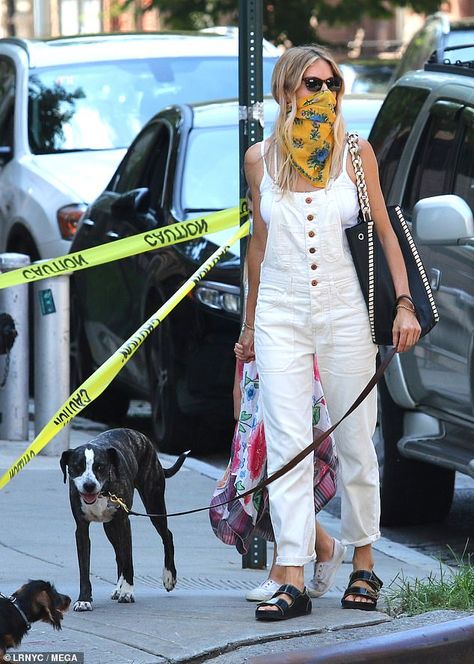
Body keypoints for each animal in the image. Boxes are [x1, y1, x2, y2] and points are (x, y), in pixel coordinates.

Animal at [58, 430, 186, 612]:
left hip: (154, 502)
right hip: (110, 526)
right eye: (77, 466)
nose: (89, 485)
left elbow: (128, 559)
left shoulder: (124, 523)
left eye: (100, 466)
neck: (103, 492)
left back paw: (168, 576)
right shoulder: (81, 530)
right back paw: (118, 587)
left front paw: (127, 592)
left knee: (167, 535)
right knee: (118, 553)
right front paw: (84, 600)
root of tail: (140, 435)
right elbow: (84, 567)